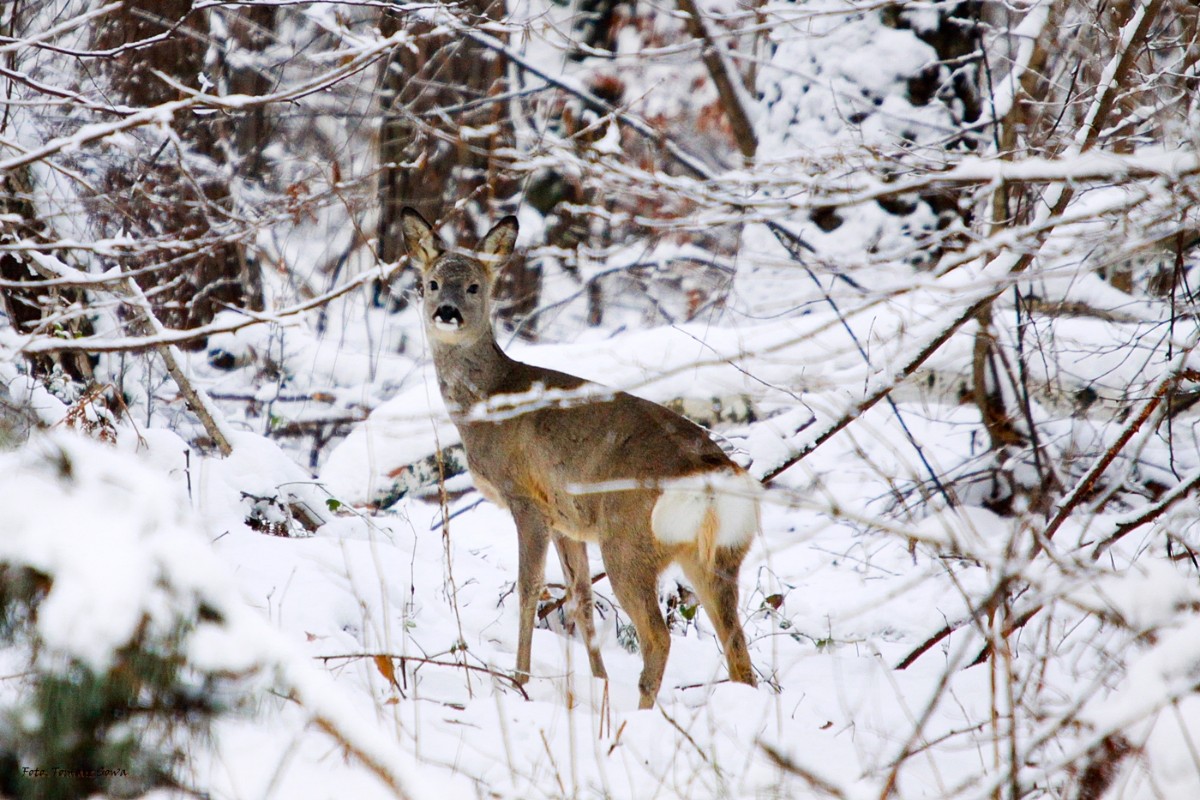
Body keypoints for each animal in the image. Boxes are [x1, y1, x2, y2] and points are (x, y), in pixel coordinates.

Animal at [403, 206, 758, 705]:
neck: (488, 401)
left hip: (629, 539)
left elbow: (529, 589)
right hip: (720, 554)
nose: (447, 312)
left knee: (659, 637)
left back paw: (639, 711)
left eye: (474, 286)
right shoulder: (564, 518)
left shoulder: (526, 498)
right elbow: (581, 597)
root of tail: (713, 476)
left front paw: (520, 680)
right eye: (432, 283)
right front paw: (599, 682)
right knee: (738, 649)